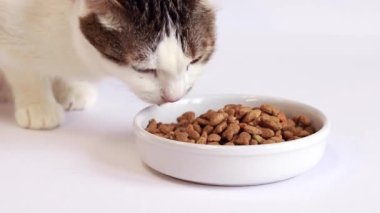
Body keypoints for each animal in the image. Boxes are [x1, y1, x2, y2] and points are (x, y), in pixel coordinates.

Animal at [0, 0, 215, 130]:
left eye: (195, 60)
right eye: (144, 69)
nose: (174, 98)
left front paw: (72, 87)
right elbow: (24, 69)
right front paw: (38, 104)